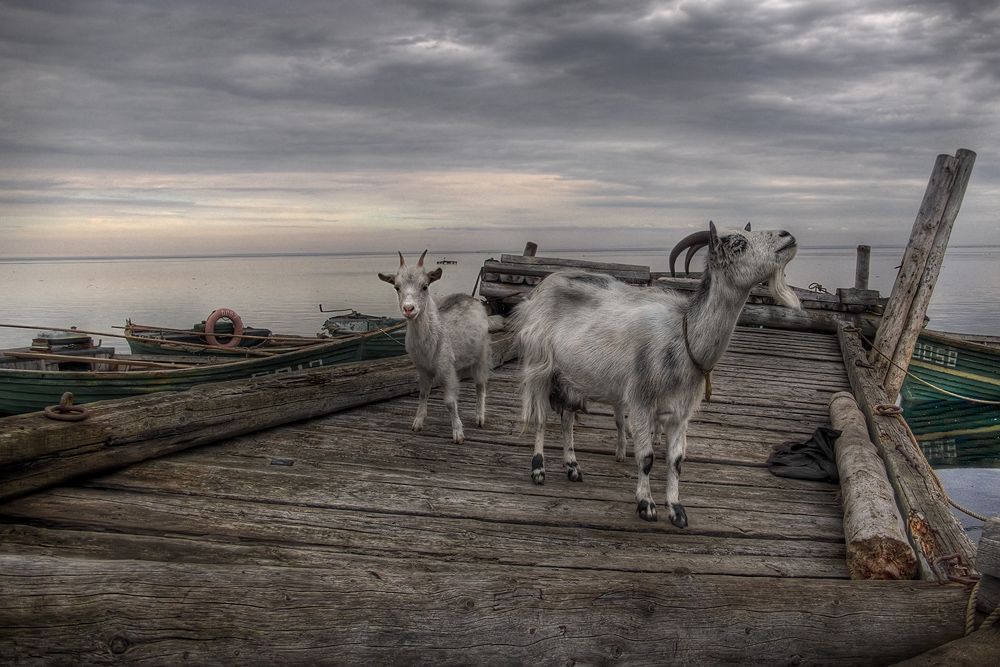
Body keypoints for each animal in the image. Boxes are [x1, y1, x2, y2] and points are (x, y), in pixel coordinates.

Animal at [378, 250, 491, 444]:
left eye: (425, 286)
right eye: (396, 287)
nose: (409, 309)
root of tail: (473, 299)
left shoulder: (445, 366)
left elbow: (449, 401)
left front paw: (458, 434)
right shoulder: (422, 368)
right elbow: (423, 393)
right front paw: (417, 423)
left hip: (481, 355)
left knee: (480, 385)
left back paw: (480, 418)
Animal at [512, 222, 799, 525]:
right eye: (737, 243)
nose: (787, 236)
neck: (683, 337)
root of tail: (540, 290)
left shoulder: (680, 412)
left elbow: (676, 461)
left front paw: (676, 509)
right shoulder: (640, 402)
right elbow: (647, 457)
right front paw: (646, 505)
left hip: (571, 378)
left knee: (567, 419)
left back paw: (573, 467)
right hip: (539, 365)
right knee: (540, 418)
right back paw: (538, 469)